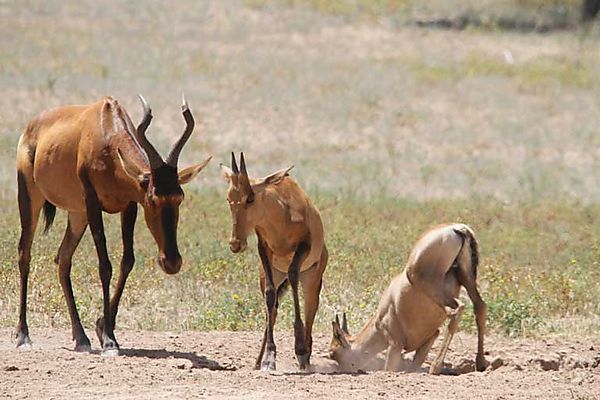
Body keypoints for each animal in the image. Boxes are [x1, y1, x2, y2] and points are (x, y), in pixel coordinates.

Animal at [15, 95, 211, 354]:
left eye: (180, 197)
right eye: (152, 199)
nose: (171, 262)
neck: (105, 128)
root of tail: (30, 127)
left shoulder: (128, 205)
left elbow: (127, 262)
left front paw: (102, 328)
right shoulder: (92, 202)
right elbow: (104, 265)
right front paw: (109, 341)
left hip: (77, 214)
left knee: (63, 259)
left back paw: (81, 339)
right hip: (31, 197)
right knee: (24, 253)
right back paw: (23, 337)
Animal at [220, 154, 328, 372]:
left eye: (250, 197)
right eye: (229, 198)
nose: (236, 244)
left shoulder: (303, 247)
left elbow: (294, 275)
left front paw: (300, 350)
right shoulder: (264, 249)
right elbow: (270, 297)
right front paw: (269, 358)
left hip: (312, 279)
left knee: (310, 310)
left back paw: (306, 356)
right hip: (274, 275)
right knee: (274, 308)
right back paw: (258, 361)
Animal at [328, 223, 488, 374]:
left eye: (333, 353)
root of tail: (458, 228)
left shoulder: (395, 344)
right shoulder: (431, 337)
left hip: (427, 283)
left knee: (457, 309)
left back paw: (435, 367)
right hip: (466, 278)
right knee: (480, 306)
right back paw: (481, 363)